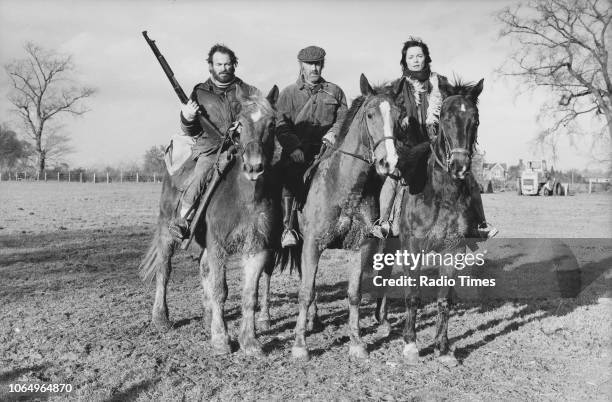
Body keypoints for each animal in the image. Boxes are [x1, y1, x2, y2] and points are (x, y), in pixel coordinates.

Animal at [139, 86, 280, 356]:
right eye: (241, 124)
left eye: (272, 124)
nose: (254, 167)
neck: (245, 197)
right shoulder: (218, 247)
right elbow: (220, 290)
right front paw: (221, 339)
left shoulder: (257, 249)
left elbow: (250, 294)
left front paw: (249, 341)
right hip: (167, 232)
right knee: (164, 269)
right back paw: (161, 318)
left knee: (203, 269)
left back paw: (206, 318)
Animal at [378, 76, 482, 368]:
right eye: (444, 118)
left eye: (475, 120)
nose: (459, 166)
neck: (440, 192)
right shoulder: (413, 248)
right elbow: (413, 295)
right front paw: (411, 345)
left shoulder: (453, 249)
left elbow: (444, 300)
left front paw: (443, 348)